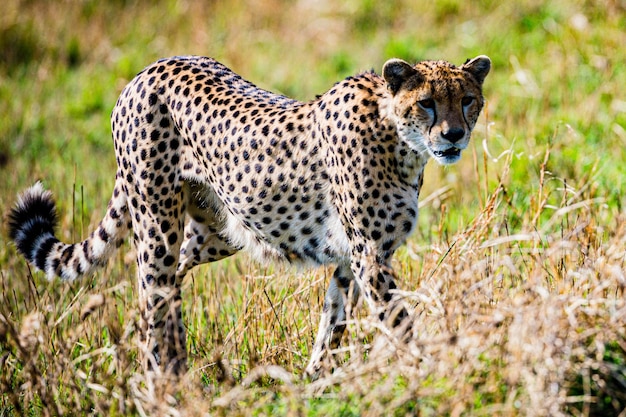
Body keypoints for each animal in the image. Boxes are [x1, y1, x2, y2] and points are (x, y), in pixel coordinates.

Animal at [7, 53, 490, 376]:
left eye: (467, 99)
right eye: (427, 102)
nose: (454, 135)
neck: (400, 140)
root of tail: (149, 69)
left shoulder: (352, 258)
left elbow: (332, 325)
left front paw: (315, 383)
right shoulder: (369, 255)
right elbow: (400, 324)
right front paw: (430, 371)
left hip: (217, 231)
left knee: (171, 281)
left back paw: (179, 367)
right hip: (157, 223)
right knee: (150, 292)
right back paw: (159, 381)